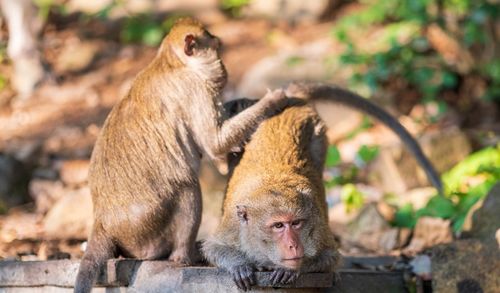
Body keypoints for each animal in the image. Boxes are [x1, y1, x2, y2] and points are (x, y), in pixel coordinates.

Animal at [72, 17, 288, 290]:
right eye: (216, 49)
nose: (224, 67)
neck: (170, 61)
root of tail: (102, 222)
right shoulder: (195, 89)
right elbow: (214, 143)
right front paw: (272, 101)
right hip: (148, 233)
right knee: (188, 187)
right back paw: (185, 257)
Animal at [203, 82, 442, 290]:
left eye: (296, 223)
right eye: (278, 225)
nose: (293, 245)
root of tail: (290, 99)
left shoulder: (316, 228)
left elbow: (331, 256)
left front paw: (295, 270)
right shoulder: (234, 226)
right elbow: (213, 247)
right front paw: (241, 266)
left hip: (318, 135)